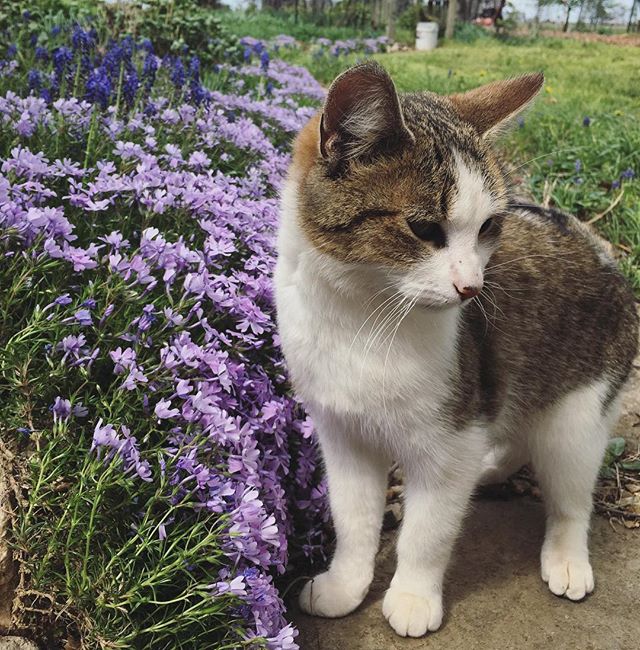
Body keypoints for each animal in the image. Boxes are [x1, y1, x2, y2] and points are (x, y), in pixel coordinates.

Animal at [272, 63, 636, 636]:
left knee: (571, 490)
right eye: (423, 228)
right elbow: (353, 518)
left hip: (578, 412)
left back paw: (566, 555)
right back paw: (494, 468)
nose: (472, 288)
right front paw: (346, 583)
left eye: (488, 226)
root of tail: (593, 240)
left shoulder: (452, 437)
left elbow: (428, 531)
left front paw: (413, 596)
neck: (364, 318)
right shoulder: (343, 434)